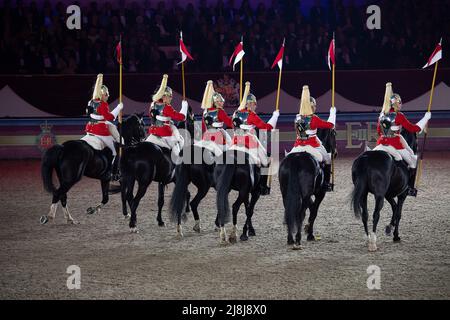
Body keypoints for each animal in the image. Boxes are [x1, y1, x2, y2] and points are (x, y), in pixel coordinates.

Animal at [120, 106, 194, 234]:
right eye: (141, 124)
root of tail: (133, 149)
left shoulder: (162, 181)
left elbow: (161, 201)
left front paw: (160, 221)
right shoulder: (177, 179)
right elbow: (185, 193)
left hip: (130, 179)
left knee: (129, 196)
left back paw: (133, 219)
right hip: (143, 183)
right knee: (135, 201)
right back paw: (133, 225)